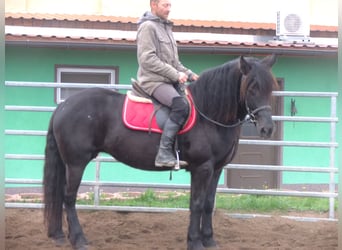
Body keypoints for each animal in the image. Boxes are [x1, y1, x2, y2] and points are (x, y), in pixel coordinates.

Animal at [43, 55, 278, 250]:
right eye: (252, 88)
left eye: (270, 89)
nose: (267, 129)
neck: (209, 114)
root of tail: (64, 106)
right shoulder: (202, 168)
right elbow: (197, 204)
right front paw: (195, 242)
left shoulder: (216, 169)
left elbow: (208, 204)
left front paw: (209, 240)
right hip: (76, 163)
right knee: (69, 198)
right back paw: (79, 240)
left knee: (61, 196)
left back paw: (59, 235)